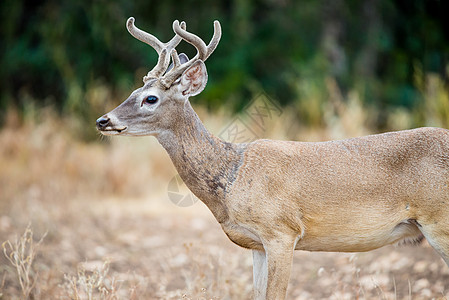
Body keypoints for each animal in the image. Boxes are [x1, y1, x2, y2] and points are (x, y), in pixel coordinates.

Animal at [98, 17, 448, 300]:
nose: (103, 120)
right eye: (133, 91)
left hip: (439, 221)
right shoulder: (257, 245)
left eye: (150, 98)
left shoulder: (282, 231)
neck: (232, 175)